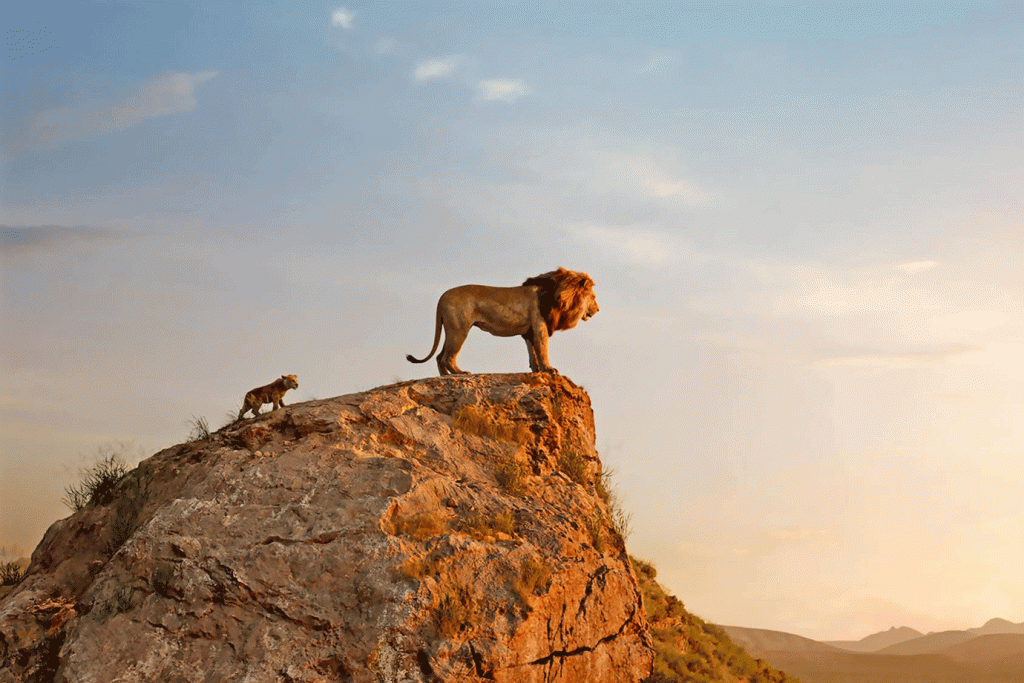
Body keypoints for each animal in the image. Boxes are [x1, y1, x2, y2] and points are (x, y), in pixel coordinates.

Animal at [403, 266, 598, 376]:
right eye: (593, 297)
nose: (598, 310)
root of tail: (442, 296)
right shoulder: (540, 326)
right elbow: (543, 350)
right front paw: (549, 369)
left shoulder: (529, 331)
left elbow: (533, 353)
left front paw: (537, 370)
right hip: (460, 329)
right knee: (447, 357)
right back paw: (459, 373)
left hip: (450, 328)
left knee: (439, 357)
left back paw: (446, 377)